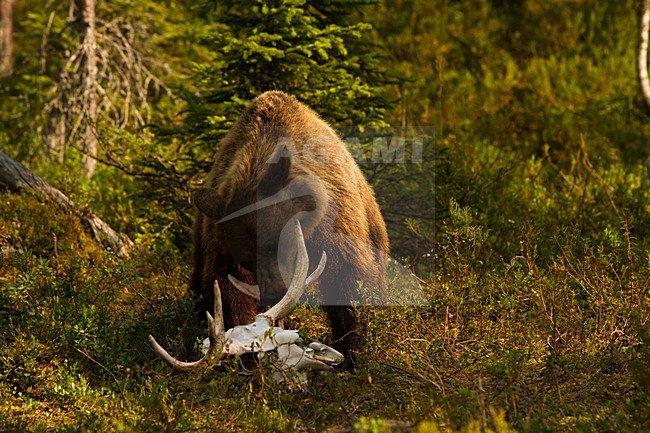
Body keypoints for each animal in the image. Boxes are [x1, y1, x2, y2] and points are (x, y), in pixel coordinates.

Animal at [189, 90, 389, 369]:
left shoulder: (336, 226)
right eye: (248, 261)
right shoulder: (221, 244)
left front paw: (351, 353)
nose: (274, 295)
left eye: (278, 245)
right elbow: (229, 290)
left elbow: (350, 279)